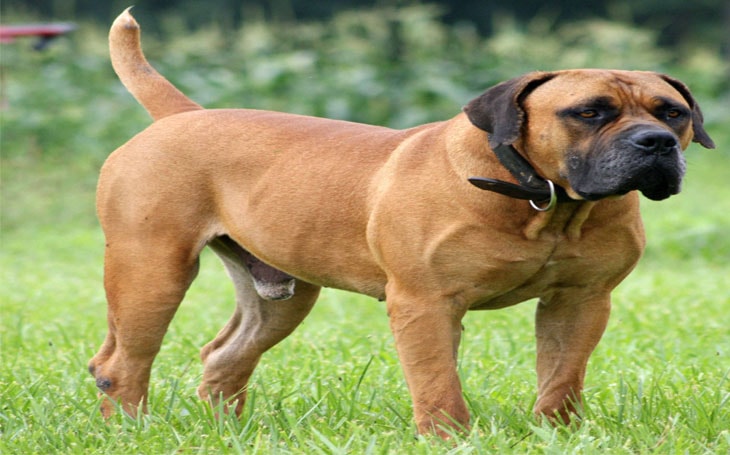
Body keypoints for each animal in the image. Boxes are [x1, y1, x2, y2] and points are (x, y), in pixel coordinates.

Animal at [88, 8, 712, 438]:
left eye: (673, 113)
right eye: (589, 113)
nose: (655, 142)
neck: (546, 203)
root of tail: (182, 116)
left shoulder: (580, 300)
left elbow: (561, 377)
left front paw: (555, 434)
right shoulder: (426, 304)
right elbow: (438, 384)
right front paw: (449, 439)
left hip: (281, 295)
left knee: (224, 357)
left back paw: (225, 434)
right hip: (152, 270)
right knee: (121, 363)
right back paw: (132, 431)